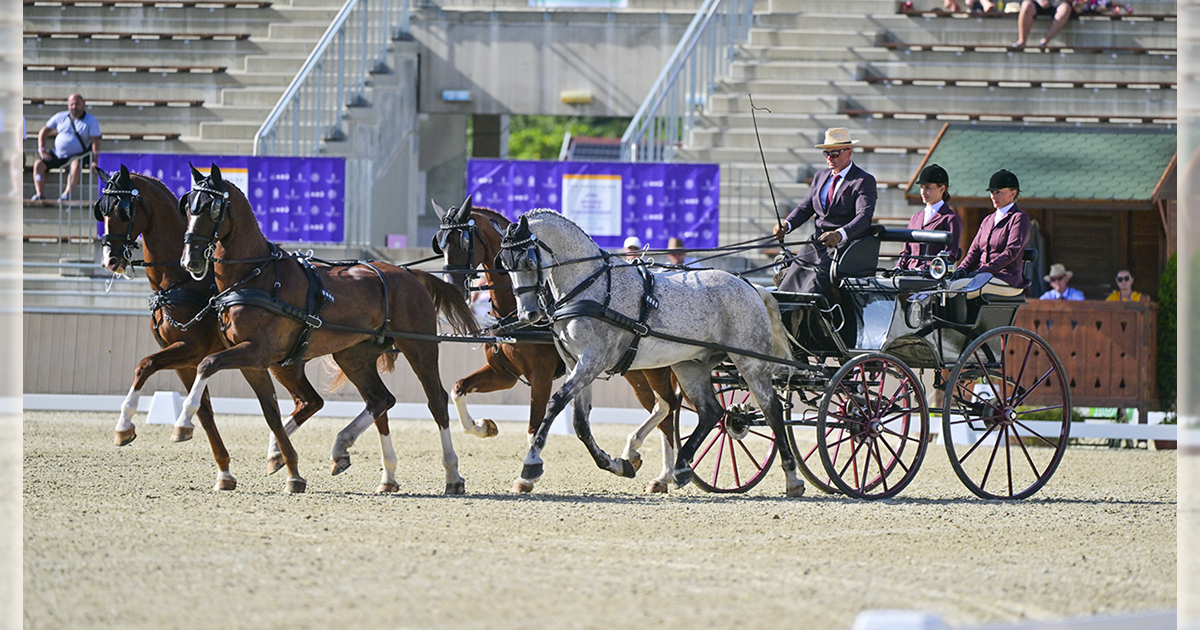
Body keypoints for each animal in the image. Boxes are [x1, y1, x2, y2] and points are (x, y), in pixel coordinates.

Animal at [95, 165, 324, 492]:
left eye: (124, 210)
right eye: (101, 209)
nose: (109, 260)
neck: (180, 281)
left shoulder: (191, 349)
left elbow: (145, 365)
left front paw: (126, 425)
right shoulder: (183, 357)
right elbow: (203, 410)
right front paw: (223, 471)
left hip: (272, 361)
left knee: (304, 402)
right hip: (282, 363)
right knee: (309, 401)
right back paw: (278, 457)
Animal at [177, 160, 477, 492]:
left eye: (213, 208)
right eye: (187, 206)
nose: (190, 260)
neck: (256, 276)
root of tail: (411, 275)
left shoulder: (255, 351)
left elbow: (207, 363)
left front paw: (183, 421)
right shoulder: (253, 360)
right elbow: (269, 411)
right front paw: (281, 461)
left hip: (419, 346)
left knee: (435, 401)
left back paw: (452, 474)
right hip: (353, 355)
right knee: (380, 400)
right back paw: (365, 463)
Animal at [436, 196, 686, 492]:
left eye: (464, 242)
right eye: (440, 243)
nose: (451, 288)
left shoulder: (541, 376)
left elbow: (535, 424)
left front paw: (527, 475)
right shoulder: (503, 374)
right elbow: (458, 388)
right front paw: (484, 426)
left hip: (654, 369)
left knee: (668, 412)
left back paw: (663, 474)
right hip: (635, 372)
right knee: (664, 408)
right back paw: (642, 462)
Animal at [496, 210, 806, 496]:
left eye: (529, 261)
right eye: (505, 265)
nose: (528, 314)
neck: (590, 287)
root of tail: (751, 286)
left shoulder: (593, 360)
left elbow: (555, 403)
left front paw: (530, 466)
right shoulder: (576, 364)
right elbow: (581, 423)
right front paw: (618, 464)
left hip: (750, 362)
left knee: (771, 409)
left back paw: (793, 478)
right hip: (690, 365)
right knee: (711, 411)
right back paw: (680, 468)